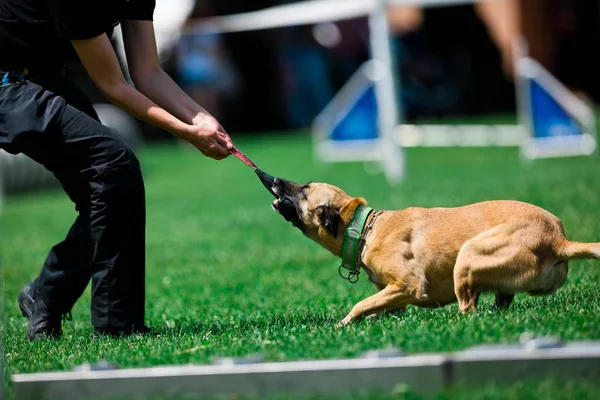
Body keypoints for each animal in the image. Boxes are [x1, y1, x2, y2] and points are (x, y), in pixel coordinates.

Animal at [272, 177, 600, 326]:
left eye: (304, 190)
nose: (273, 180)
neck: (365, 228)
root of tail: (558, 240)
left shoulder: (409, 285)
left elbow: (359, 305)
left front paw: (342, 325)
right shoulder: (391, 295)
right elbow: (374, 307)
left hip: (468, 256)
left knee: (468, 309)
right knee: (497, 303)